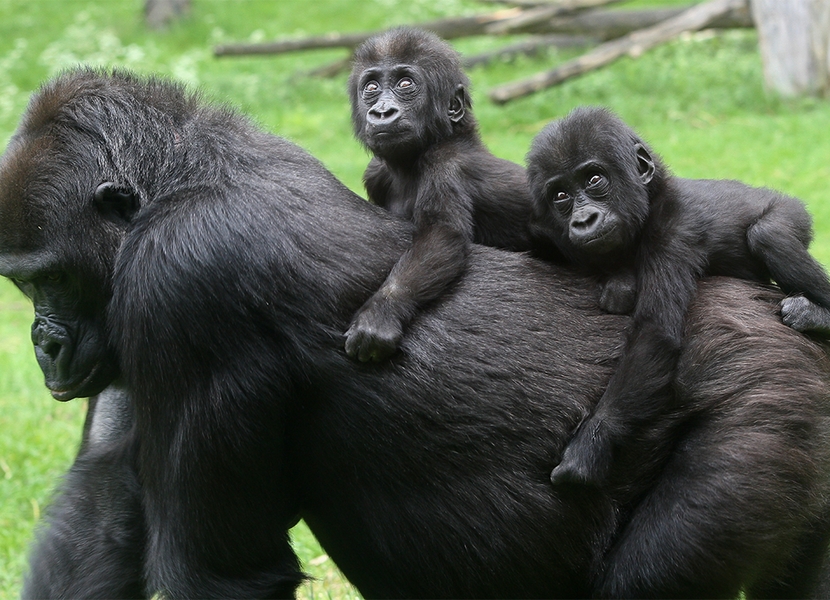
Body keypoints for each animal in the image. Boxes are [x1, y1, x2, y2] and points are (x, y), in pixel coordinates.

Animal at [528, 104, 830, 488]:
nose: (584, 220)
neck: (652, 199)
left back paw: (816, 314)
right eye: (561, 196)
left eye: (594, 180)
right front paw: (619, 280)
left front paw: (590, 447)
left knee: (770, 234)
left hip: (790, 210)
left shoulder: (674, 229)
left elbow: (655, 333)